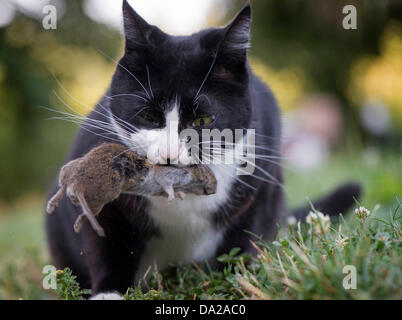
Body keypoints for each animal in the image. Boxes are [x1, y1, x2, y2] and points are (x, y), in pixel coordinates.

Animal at [45, 1, 360, 298]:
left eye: (203, 121)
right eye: (148, 115)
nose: (169, 153)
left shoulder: (261, 185)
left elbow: (243, 241)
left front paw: (239, 283)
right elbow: (105, 242)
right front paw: (108, 293)